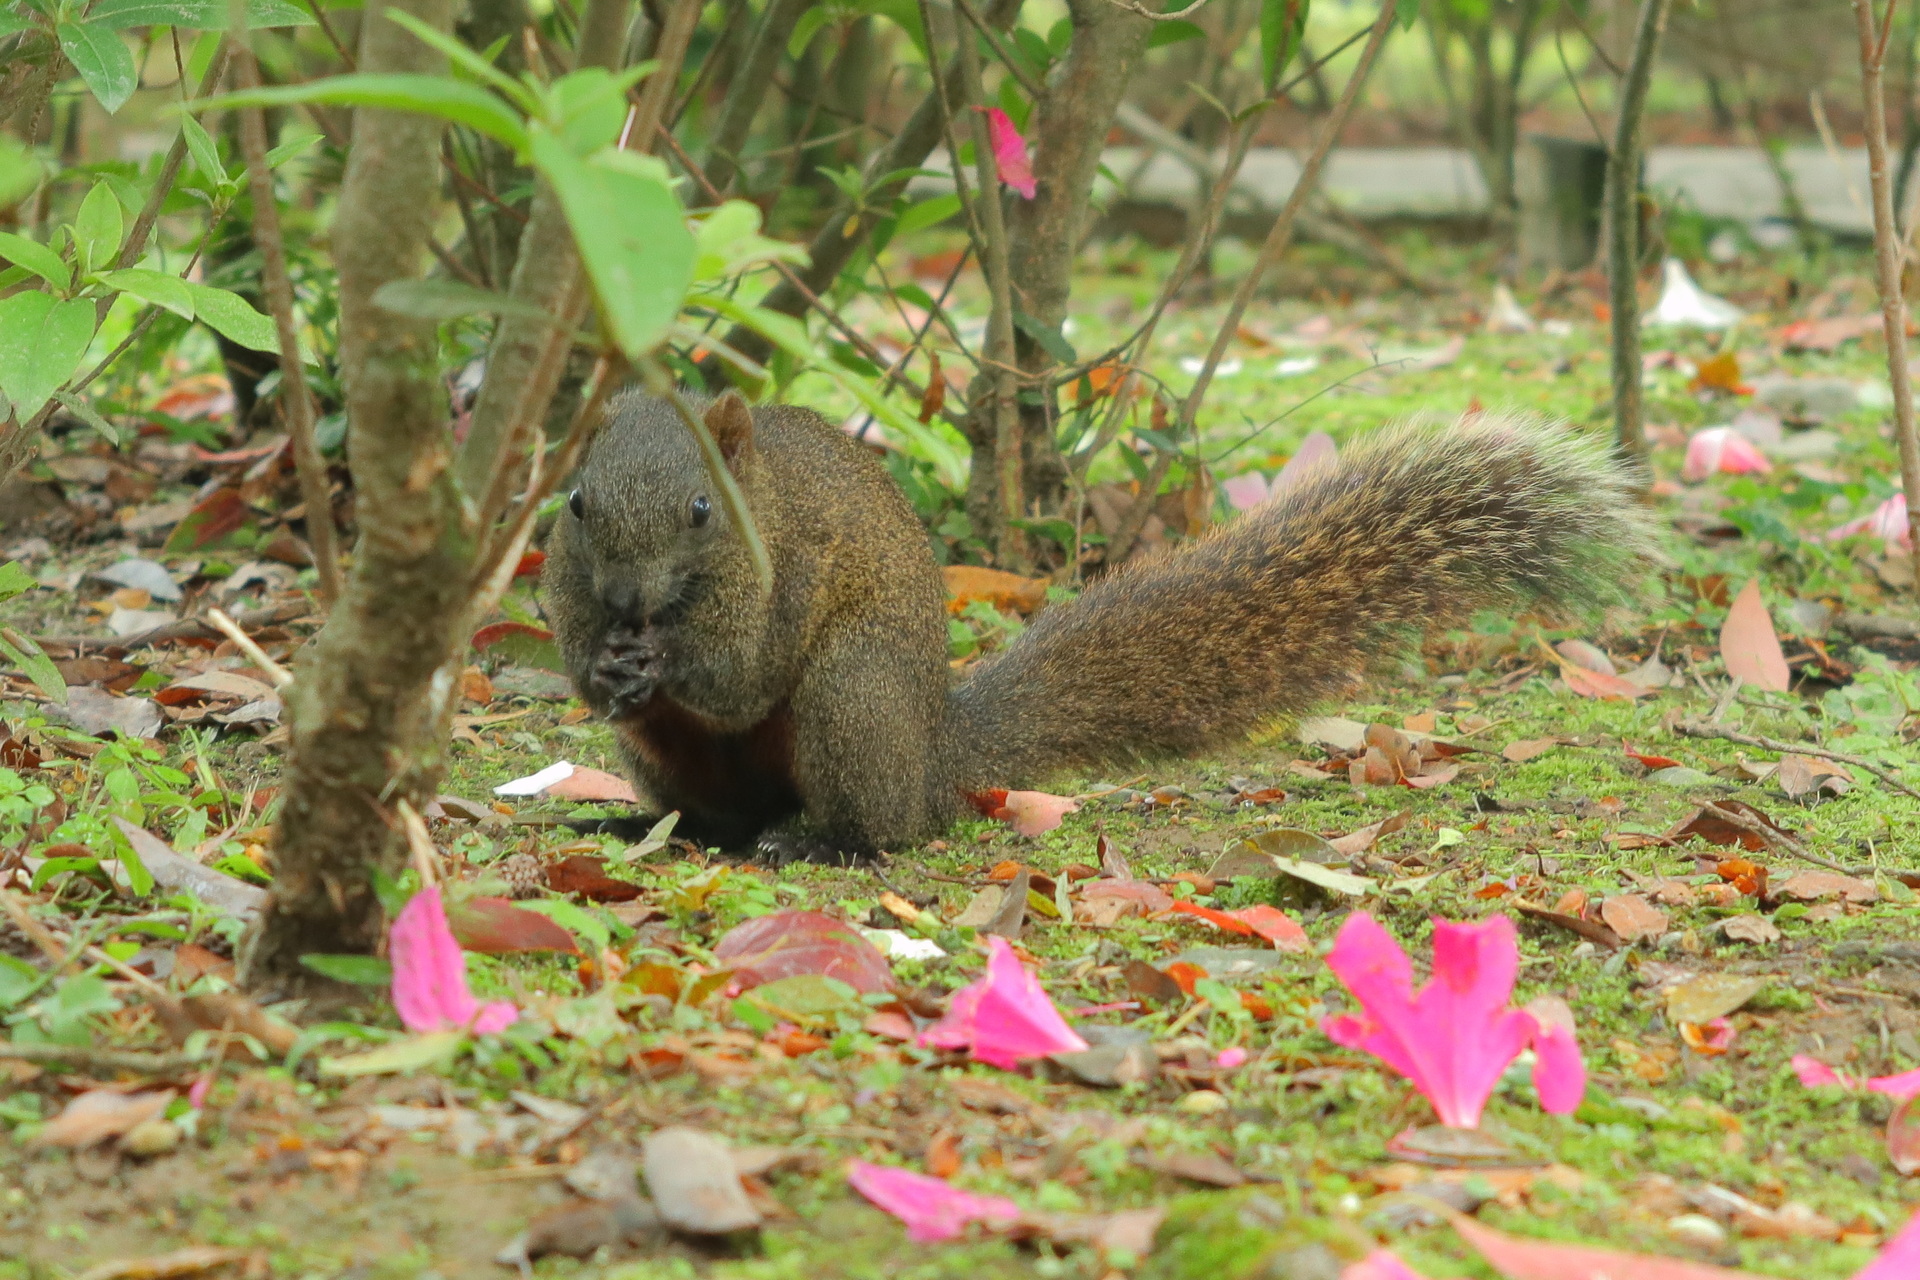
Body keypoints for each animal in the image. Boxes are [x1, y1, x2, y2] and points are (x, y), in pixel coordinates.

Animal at [545, 391, 1651, 867]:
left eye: (701, 509)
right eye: (573, 502)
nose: (631, 602)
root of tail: (935, 752)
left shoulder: (794, 569)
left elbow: (742, 674)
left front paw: (665, 655)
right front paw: (604, 665)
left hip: (851, 698)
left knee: (886, 823)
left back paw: (823, 843)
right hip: (664, 760)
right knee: (710, 806)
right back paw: (645, 824)